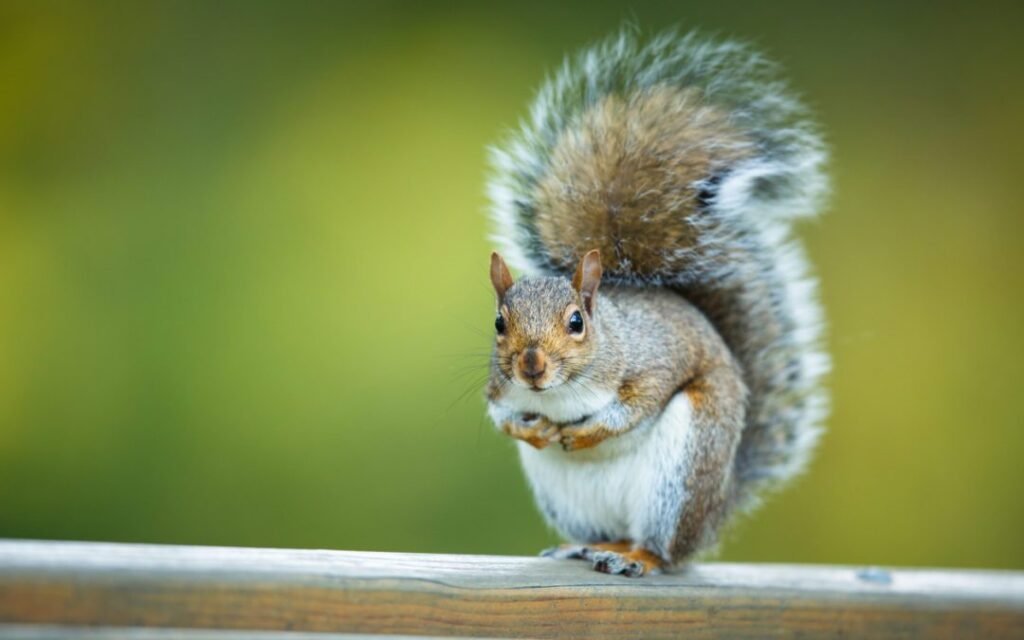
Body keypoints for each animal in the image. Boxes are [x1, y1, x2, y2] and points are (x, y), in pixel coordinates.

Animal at [483, 30, 829, 577]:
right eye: (500, 323)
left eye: (577, 322)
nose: (531, 367)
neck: (558, 395)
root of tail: (717, 510)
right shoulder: (498, 389)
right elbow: (499, 414)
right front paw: (530, 430)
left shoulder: (652, 363)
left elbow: (636, 405)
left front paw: (586, 433)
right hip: (570, 500)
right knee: (610, 533)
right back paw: (587, 547)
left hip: (683, 471)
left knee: (665, 550)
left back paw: (637, 558)